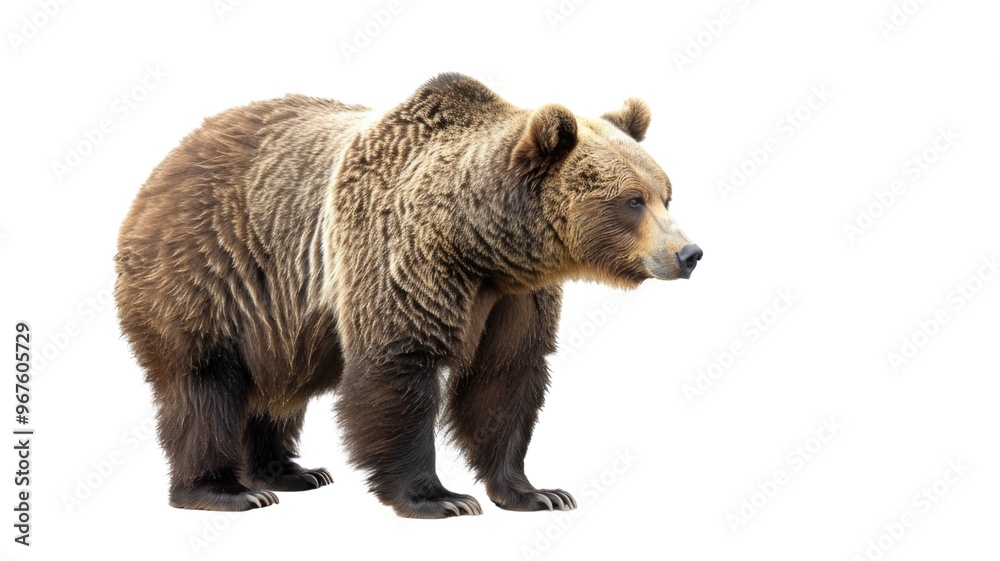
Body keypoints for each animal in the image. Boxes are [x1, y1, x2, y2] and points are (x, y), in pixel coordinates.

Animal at [114, 73, 702, 518]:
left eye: (666, 194)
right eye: (632, 200)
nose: (689, 252)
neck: (480, 243)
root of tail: (167, 162)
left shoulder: (515, 297)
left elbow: (506, 379)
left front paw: (537, 492)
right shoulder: (400, 257)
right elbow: (399, 366)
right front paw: (440, 498)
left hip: (280, 313)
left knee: (279, 386)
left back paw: (290, 471)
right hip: (210, 268)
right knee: (205, 383)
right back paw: (226, 490)